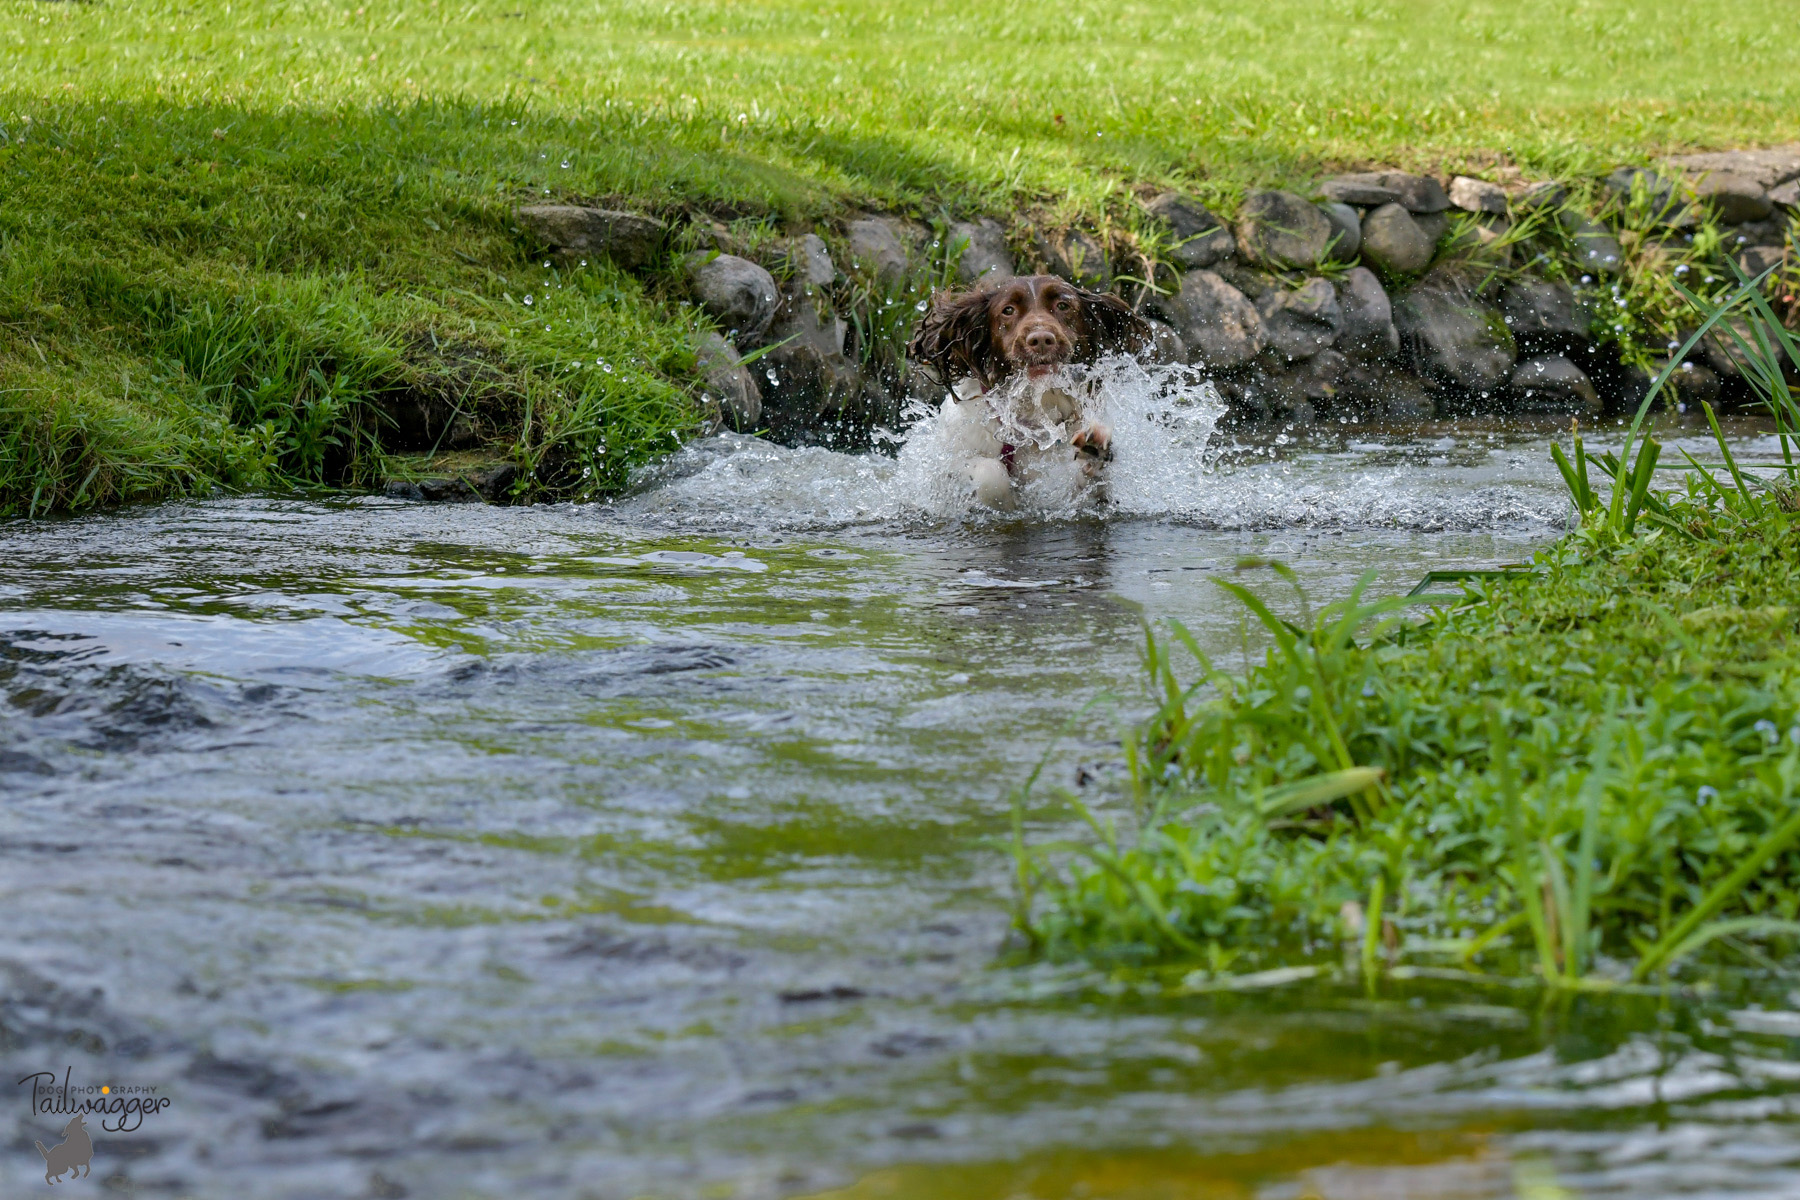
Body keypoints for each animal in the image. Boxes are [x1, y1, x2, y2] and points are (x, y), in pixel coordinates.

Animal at [907, 275, 1144, 510]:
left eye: (1063, 305)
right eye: (1008, 310)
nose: (1040, 339)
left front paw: (1094, 453)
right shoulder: (946, 465)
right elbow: (989, 473)